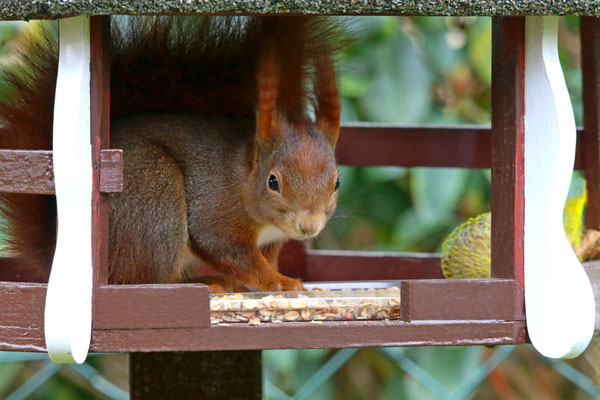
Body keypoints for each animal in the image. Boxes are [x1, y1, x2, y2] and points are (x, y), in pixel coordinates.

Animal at [0, 16, 340, 290]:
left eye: (337, 183)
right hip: (154, 200)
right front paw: (279, 282)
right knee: (147, 280)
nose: (308, 227)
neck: (244, 177)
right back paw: (207, 283)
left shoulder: (272, 241)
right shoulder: (215, 211)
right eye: (273, 182)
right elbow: (228, 251)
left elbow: (263, 257)